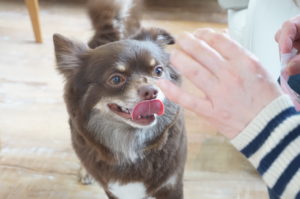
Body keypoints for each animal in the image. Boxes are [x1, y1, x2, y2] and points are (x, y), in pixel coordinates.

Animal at [52, 0, 186, 199]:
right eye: (116, 79)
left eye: (158, 71)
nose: (151, 91)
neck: (131, 145)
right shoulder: (115, 190)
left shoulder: (171, 185)